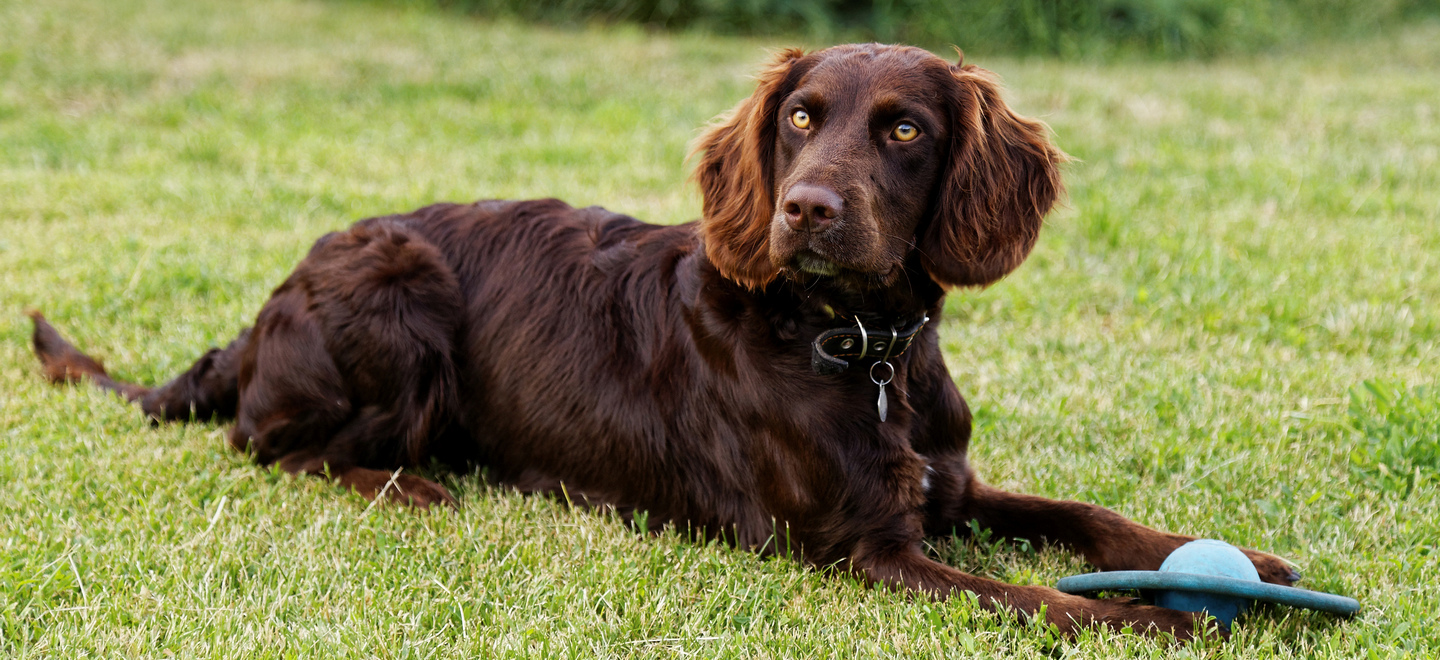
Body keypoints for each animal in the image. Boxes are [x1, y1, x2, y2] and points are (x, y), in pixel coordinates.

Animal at [30, 45, 1296, 639]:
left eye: (903, 130)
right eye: (800, 120)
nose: (807, 209)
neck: (859, 345)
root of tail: (261, 312)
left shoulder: (946, 485)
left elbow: (1085, 519)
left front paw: (1247, 567)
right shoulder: (862, 549)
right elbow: (1043, 598)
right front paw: (1164, 622)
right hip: (399, 292)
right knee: (275, 445)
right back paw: (414, 487)